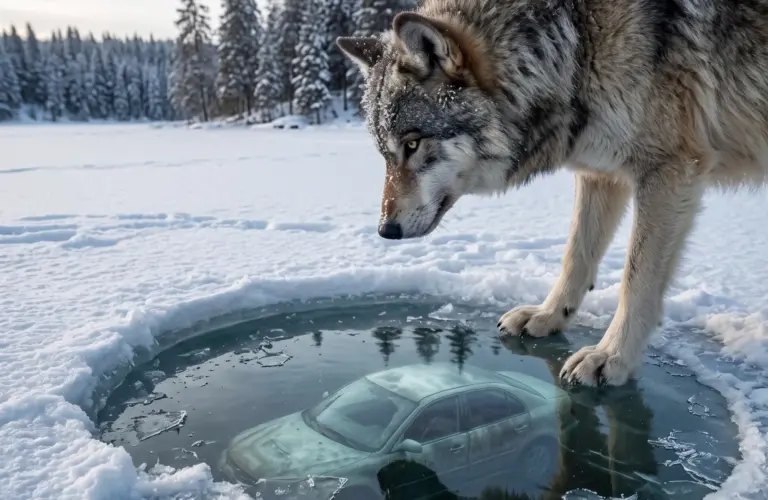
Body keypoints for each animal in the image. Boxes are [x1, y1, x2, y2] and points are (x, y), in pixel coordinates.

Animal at [336, 0, 768, 387]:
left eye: (412, 144)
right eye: (384, 152)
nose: (385, 230)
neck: (576, 47)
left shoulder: (669, 172)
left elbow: (636, 279)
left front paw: (610, 357)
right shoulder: (600, 173)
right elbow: (575, 256)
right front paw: (547, 317)